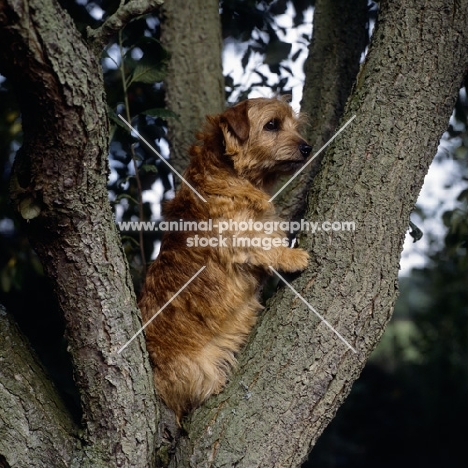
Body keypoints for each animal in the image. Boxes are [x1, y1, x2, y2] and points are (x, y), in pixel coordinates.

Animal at [141, 96, 312, 420]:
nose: (307, 147)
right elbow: (265, 245)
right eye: (272, 124)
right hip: (200, 369)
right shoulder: (238, 237)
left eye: (295, 125)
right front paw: (293, 256)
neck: (233, 174)